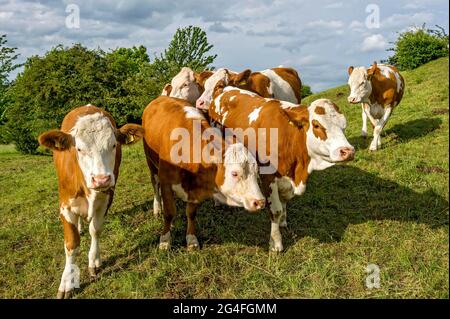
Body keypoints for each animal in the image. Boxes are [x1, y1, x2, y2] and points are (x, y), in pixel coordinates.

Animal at [39, 105, 145, 300]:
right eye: (79, 149)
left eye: (113, 145)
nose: (101, 179)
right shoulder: (65, 206)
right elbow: (72, 244)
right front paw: (67, 282)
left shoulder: (106, 200)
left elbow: (95, 230)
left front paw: (94, 261)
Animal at [142, 96, 266, 251]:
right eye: (235, 174)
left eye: (256, 172)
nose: (260, 202)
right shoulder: (166, 182)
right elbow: (169, 213)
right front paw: (165, 240)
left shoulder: (195, 190)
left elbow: (191, 213)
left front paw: (191, 239)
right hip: (151, 163)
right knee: (155, 184)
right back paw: (158, 207)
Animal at [197, 75, 356, 252]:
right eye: (316, 125)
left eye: (344, 125)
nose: (348, 151)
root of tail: (224, 88)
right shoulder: (269, 177)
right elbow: (276, 210)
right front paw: (276, 242)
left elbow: (285, 201)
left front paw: (283, 222)